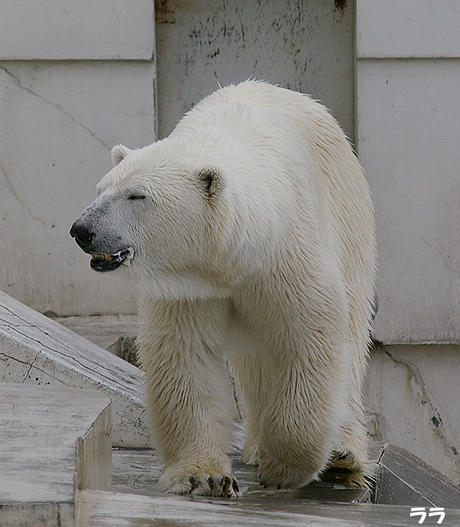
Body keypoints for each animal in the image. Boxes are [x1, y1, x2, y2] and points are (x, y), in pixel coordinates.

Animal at [71, 80, 374, 498]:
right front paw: (204, 476)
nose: (82, 230)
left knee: (352, 331)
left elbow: (309, 338)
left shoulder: (286, 255)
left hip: (348, 211)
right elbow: (184, 354)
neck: (231, 257)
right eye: (102, 188)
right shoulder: (187, 285)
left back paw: (343, 456)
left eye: (137, 195)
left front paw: (284, 466)